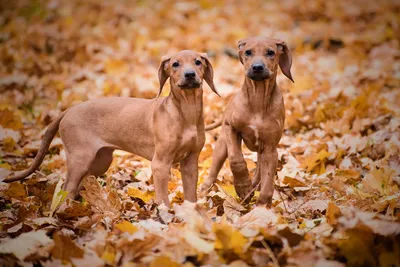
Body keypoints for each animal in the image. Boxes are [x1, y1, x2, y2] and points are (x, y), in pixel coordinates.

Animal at [5, 50, 219, 207]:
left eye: (198, 62)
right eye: (175, 64)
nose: (190, 74)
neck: (186, 113)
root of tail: (69, 110)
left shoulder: (190, 163)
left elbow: (191, 196)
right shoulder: (160, 164)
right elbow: (163, 199)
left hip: (100, 161)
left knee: (81, 185)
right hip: (80, 159)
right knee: (68, 189)